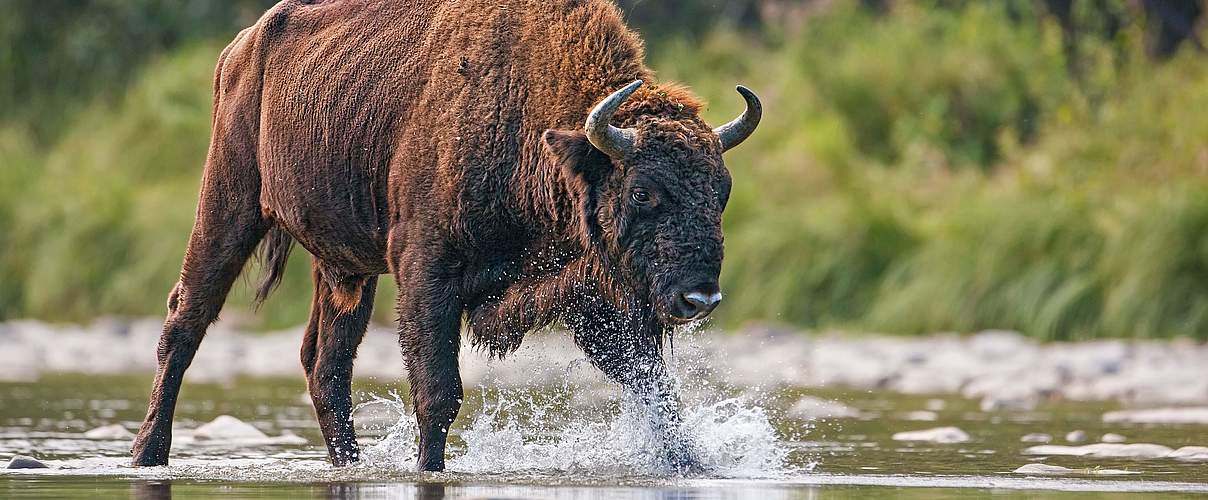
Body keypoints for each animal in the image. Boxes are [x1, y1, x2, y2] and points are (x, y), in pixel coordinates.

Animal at [132, 0, 753, 473]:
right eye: (643, 191)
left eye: (722, 190)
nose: (700, 297)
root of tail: (240, 50)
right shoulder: (428, 276)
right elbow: (438, 391)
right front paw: (429, 469)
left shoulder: (594, 294)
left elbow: (653, 390)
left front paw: (694, 466)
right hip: (228, 208)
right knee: (185, 323)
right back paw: (147, 454)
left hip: (346, 269)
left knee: (324, 363)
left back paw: (348, 463)